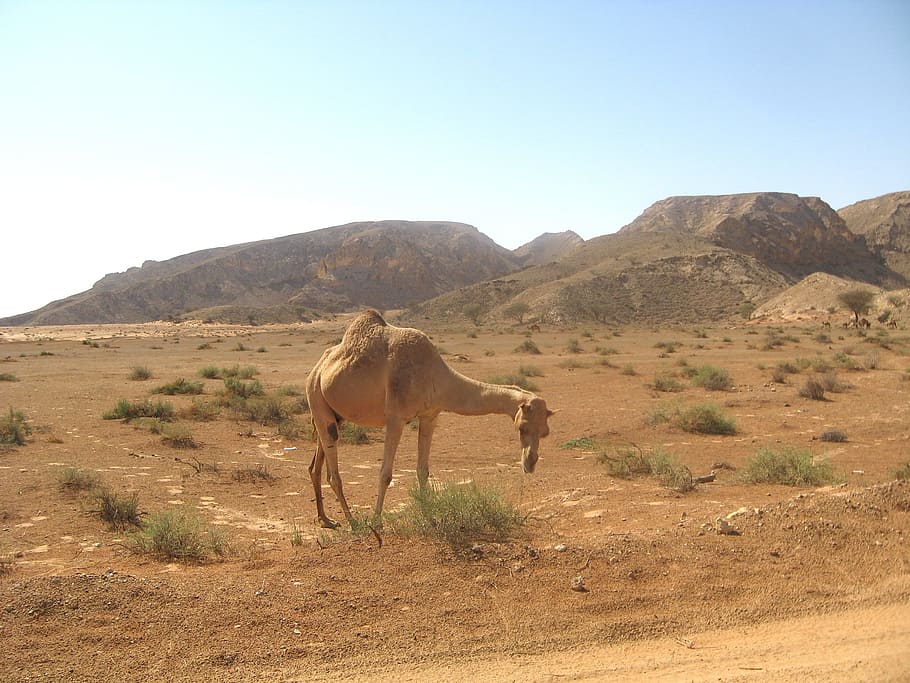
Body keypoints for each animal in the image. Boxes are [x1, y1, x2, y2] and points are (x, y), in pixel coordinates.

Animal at [306, 310, 556, 528]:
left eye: (545, 432)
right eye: (522, 428)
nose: (530, 463)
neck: (435, 374)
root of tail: (317, 368)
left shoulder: (430, 416)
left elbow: (422, 471)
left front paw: (430, 518)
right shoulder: (396, 417)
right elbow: (385, 473)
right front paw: (377, 522)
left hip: (333, 414)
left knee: (315, 465)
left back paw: (326, 519)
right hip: (316, 398)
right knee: (333, 471)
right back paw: (353, 522)